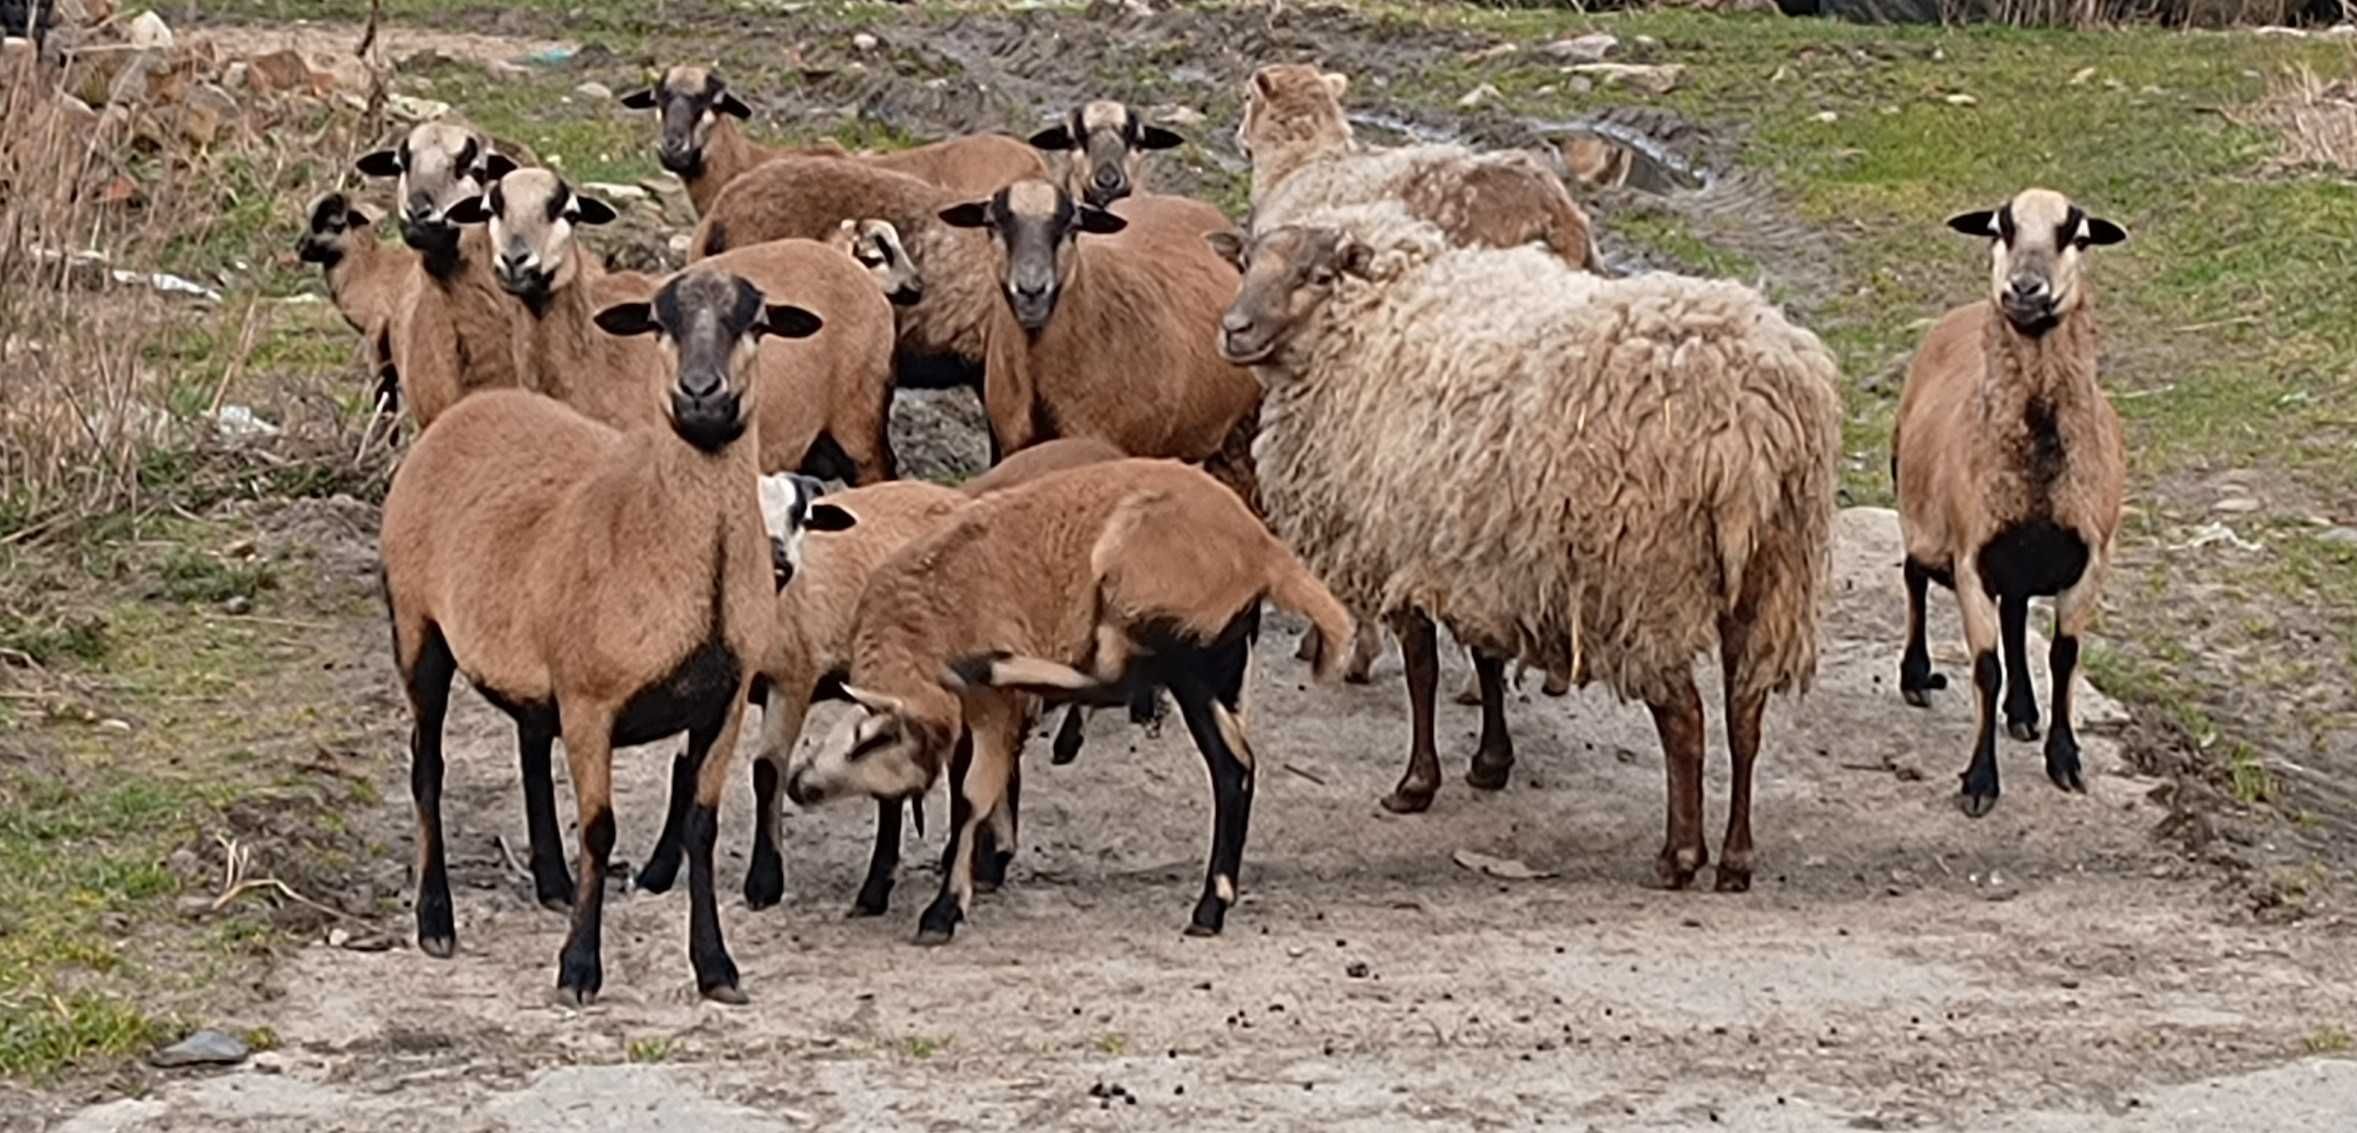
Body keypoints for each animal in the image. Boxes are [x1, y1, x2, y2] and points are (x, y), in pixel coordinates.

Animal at [381, 267, 834, 1008]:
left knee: (530, 748)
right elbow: (598, 828)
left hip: (533, 665)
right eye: (656, 321)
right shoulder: (592, 703)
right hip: (417, 627)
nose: (701, 394)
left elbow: (701, 826)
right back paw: (436, 921)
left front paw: (716, 967)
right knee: (427, 765)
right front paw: (578, 969)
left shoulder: (723, 702)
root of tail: (472, 408)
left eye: (759, 322)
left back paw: (553, 885)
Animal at [782, 454, 1357, 942]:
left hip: (1147, 608)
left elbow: (972, 795)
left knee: (1122, 682)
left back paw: (995, 666)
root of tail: (1265, 552)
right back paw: (1212, 905)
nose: (797, 786)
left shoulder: (994, 712)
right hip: (1215, 662)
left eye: (871, 742)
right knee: (1234, 768)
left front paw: (944, 910)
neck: (921, 625)